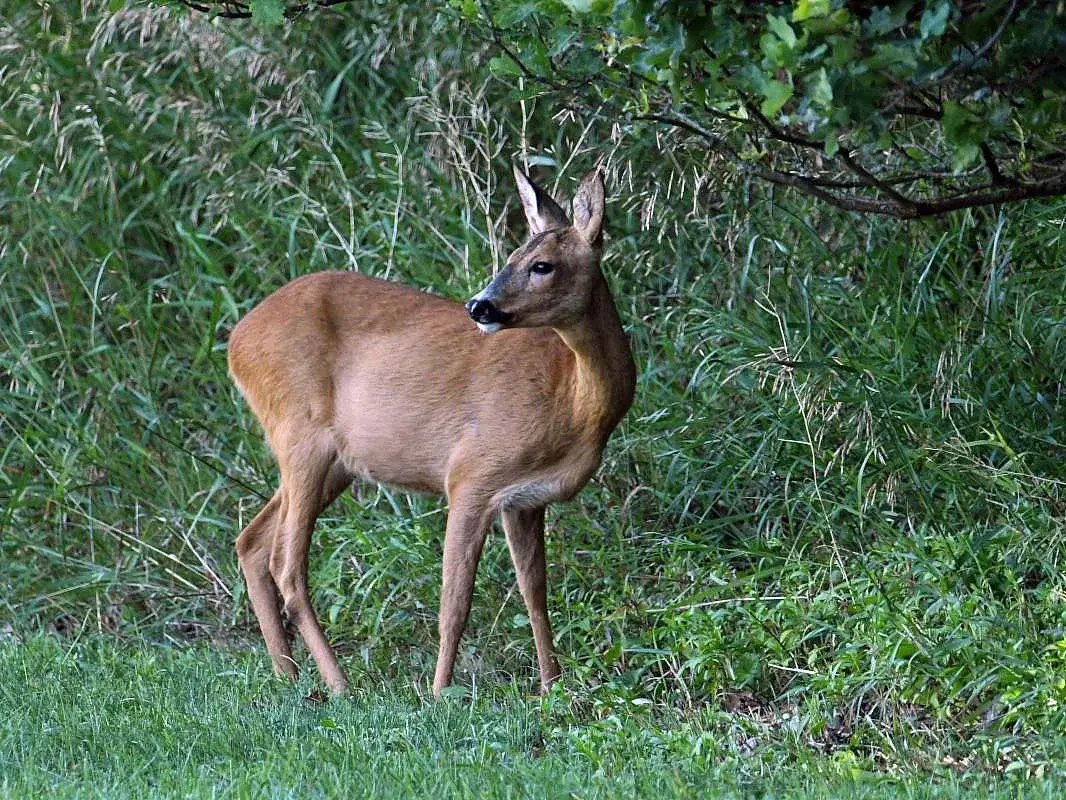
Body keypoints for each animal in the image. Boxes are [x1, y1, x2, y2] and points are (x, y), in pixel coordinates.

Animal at [227, 167, 631, 695]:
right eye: (511, 257)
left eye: (541, 264)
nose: (479, 305)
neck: (572, 399)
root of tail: (235, 340)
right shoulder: (471, 474)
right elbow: (455, 602)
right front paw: (441, 693)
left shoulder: (525, 499)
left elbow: (535, 592)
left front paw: (551, 685)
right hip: (300, 435)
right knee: (287, 565)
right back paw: (340, 685)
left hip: (334, 462)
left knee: (252, 541)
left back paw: (289, 677)